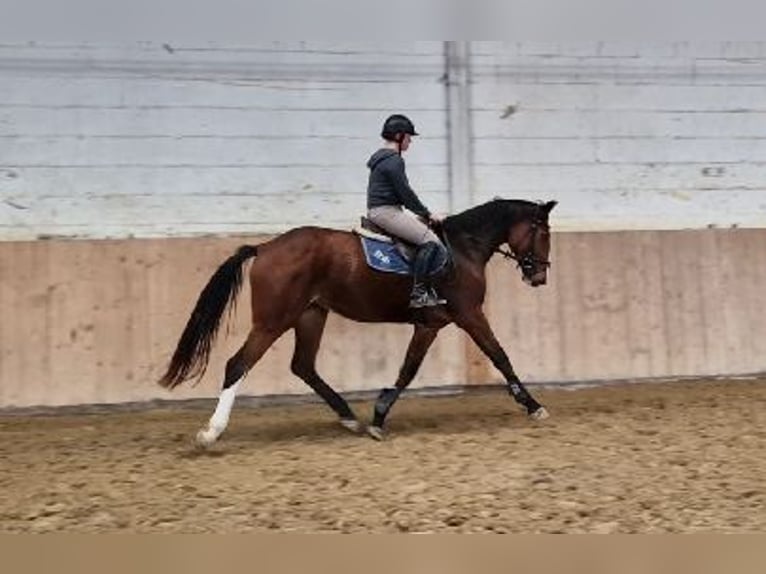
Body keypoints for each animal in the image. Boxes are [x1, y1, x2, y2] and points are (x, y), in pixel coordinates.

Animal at [158, 198, 557, 444]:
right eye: (542, 232)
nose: (539, 277)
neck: (462, 248)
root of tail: (266, 247)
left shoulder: (430, 325)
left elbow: (407, 370)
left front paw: (377, 417)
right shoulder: (468, 315)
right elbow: (499, 356)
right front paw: (534, 406)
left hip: (310, 315)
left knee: (303, 366)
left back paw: (348, 416)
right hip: (273, 321)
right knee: (238, 364)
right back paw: (212, 432)